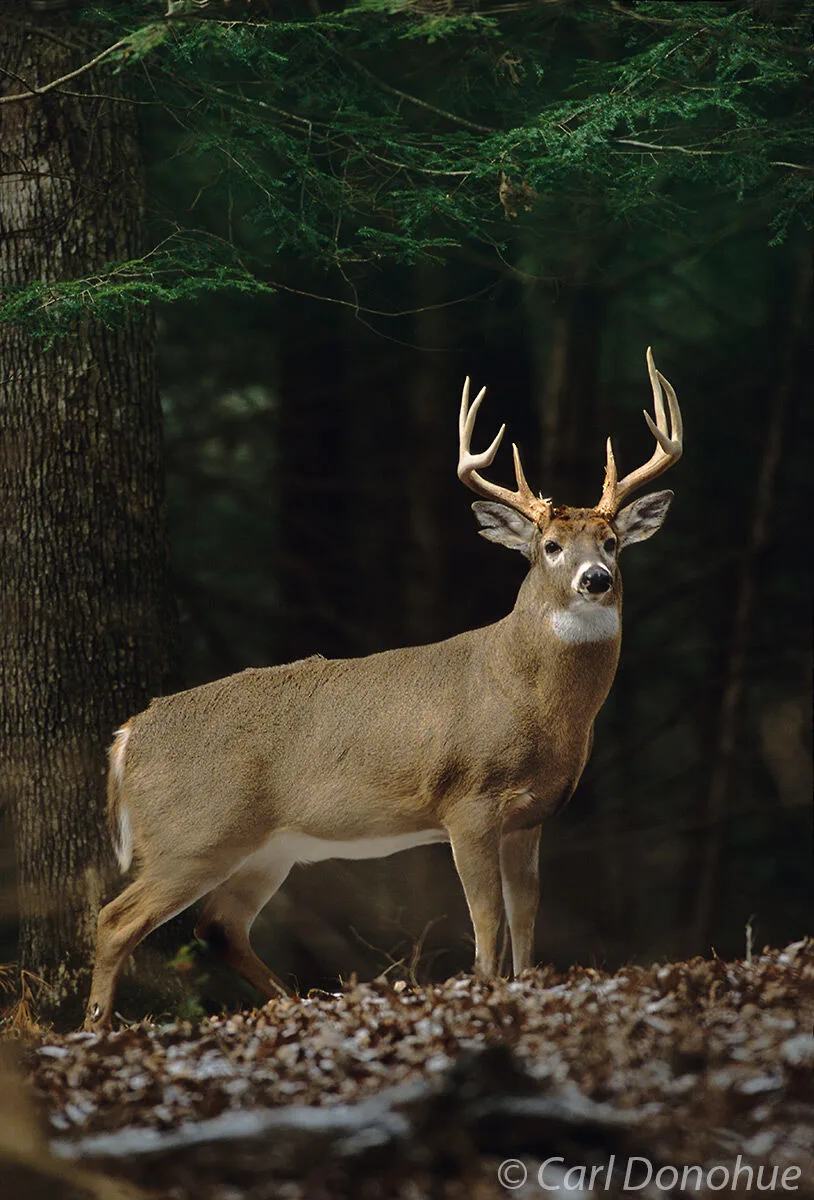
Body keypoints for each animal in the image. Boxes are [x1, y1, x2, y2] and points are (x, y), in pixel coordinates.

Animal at [84, 348, 682, 1030]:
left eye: (611, 542)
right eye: (550, 546)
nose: (596, 578)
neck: (526, 696)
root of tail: (127, 736)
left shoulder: (530, 816)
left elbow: (525, 920)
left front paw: (524, 988)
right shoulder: (467, 803)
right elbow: (487, 923)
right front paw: (483, 991)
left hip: (266, 847)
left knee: (219, 927)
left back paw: (296, 1002)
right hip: (193, 834)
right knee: (115, 919)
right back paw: (93, 1028)